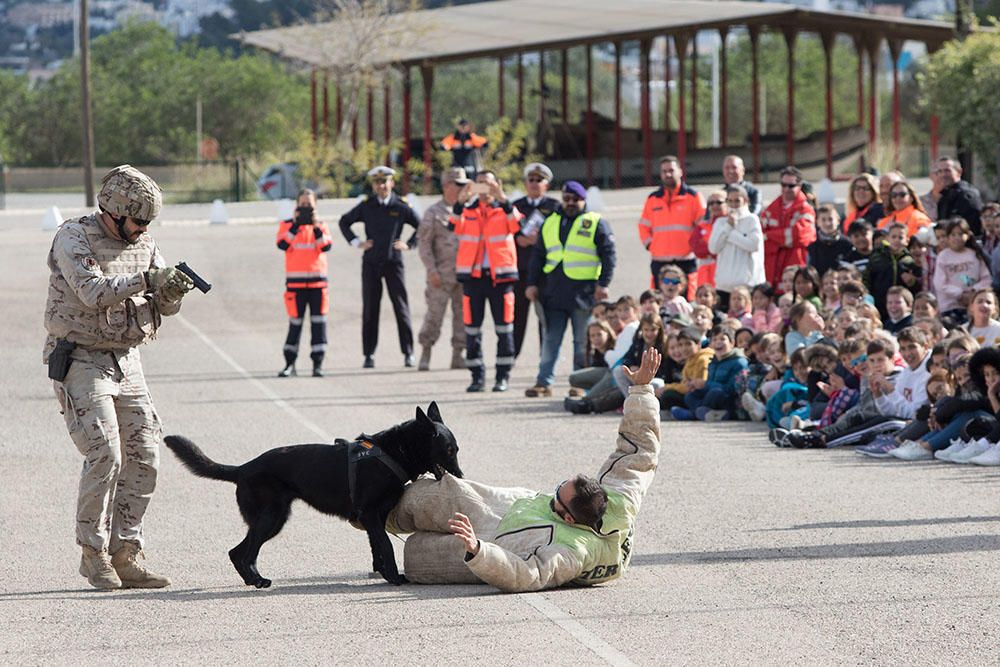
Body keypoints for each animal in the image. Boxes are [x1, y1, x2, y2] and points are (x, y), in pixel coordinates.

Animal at [164, 402, 460, 584]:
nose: (460, 475)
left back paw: (251, 579)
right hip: (272, 518)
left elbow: (377, 546)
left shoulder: (372, 519)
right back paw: (258, 580)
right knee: (246, 552)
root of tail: (244, 468)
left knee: (236, 552)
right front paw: (395, 577)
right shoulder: (370, 515)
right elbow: (386, 545)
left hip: (270, 519)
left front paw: (383, 573)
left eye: (456, 449)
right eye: (448, 450)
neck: (394, 452)